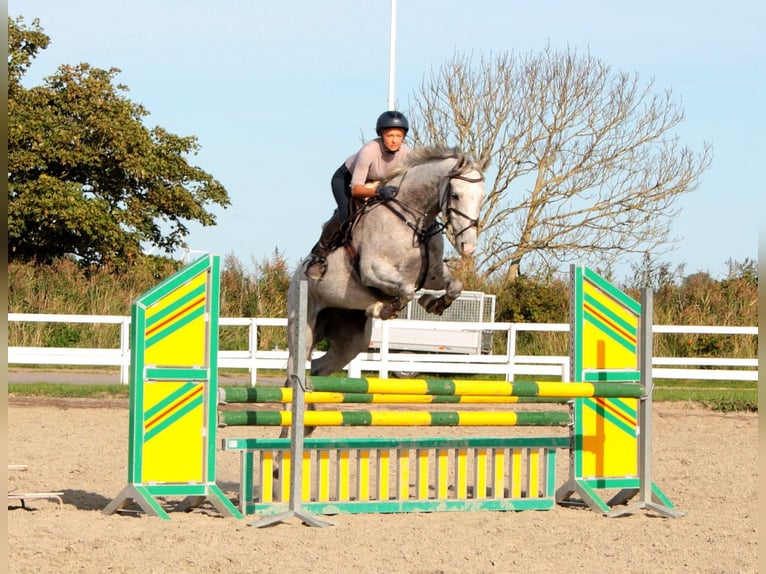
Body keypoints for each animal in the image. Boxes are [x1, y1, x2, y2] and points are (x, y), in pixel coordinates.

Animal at [288, 145, 492, 388]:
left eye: (482, 197)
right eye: (455, 195)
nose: (468, 246)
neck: (412, 220)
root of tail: (295, 277)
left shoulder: (431, 274)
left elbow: (454, 286)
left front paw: (433, 303)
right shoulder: (372, 271)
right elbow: (405, 290)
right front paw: (384, 309)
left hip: (352, 340)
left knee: (320, 367)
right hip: (303, 324)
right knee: (294, 368)